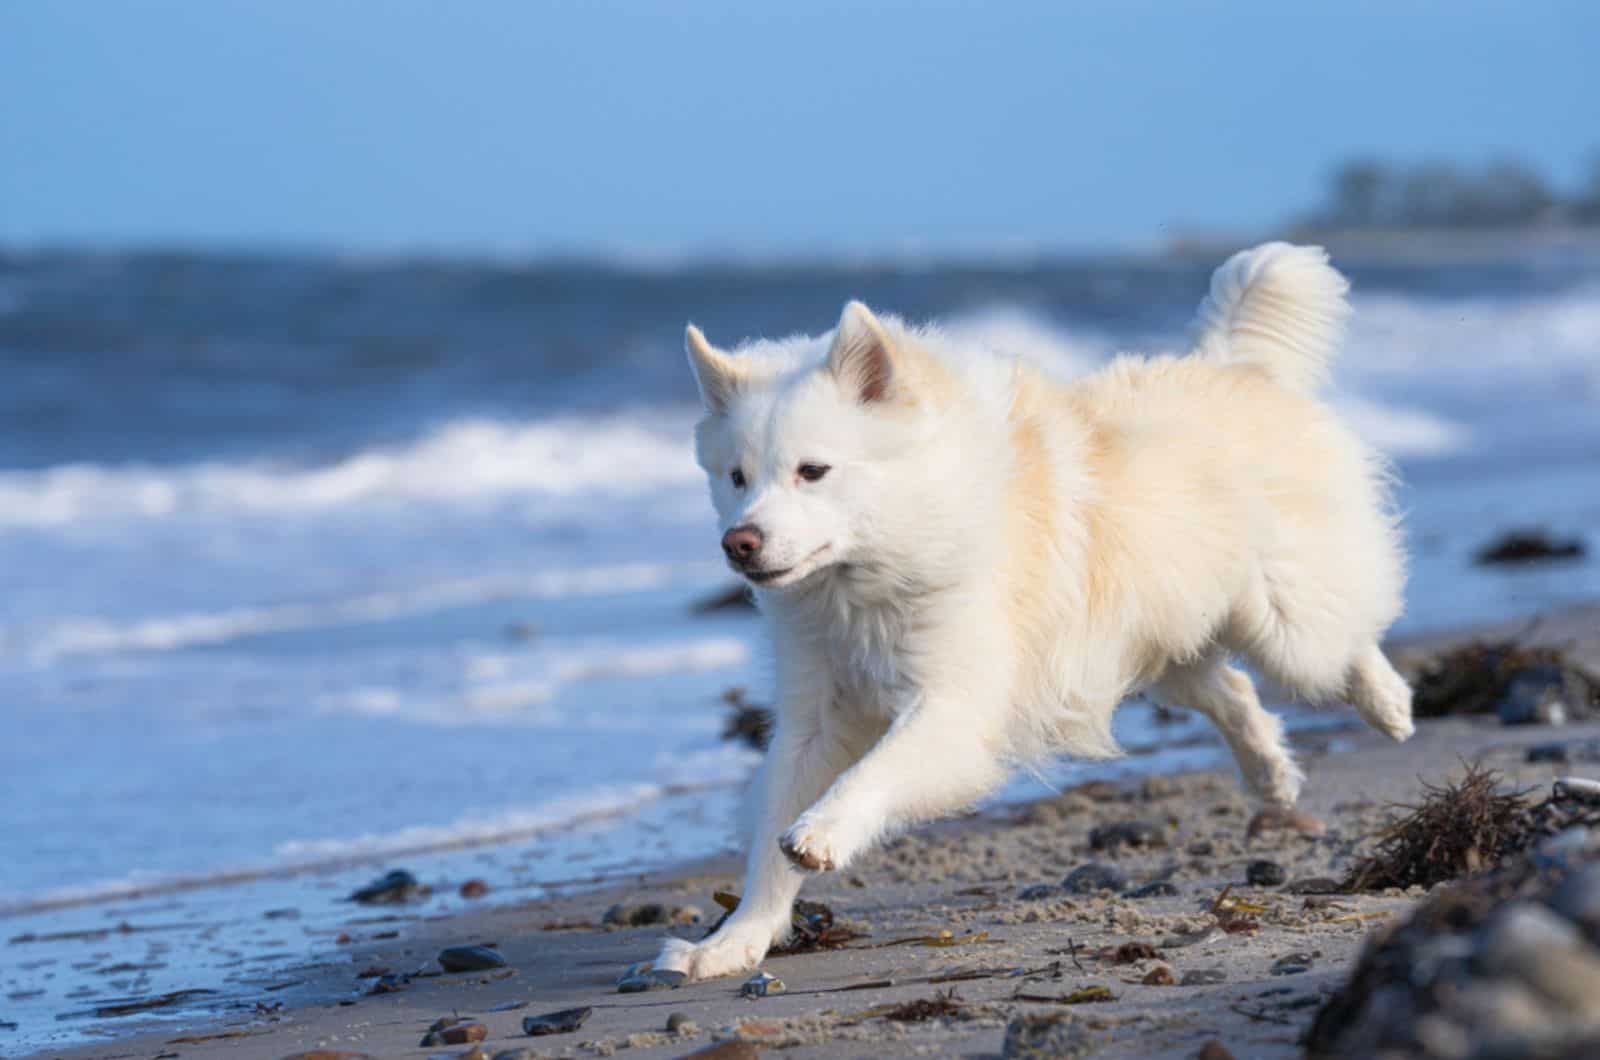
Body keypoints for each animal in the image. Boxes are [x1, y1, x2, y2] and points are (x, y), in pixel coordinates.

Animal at [656, 244, 1408, 986]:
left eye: (813, 471)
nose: (739, 543)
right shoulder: (816, 717)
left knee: (1340, 643)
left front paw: (821, 834)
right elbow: (772, 834)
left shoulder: (954, 706)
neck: (878, 565)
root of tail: (1234, 366)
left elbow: (869, 775)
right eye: (737, 478)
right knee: (1232, 688)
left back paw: (1390, 706)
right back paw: (1270, 776)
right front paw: (732, 944)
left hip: (1284, 628)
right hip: (1152, 646)